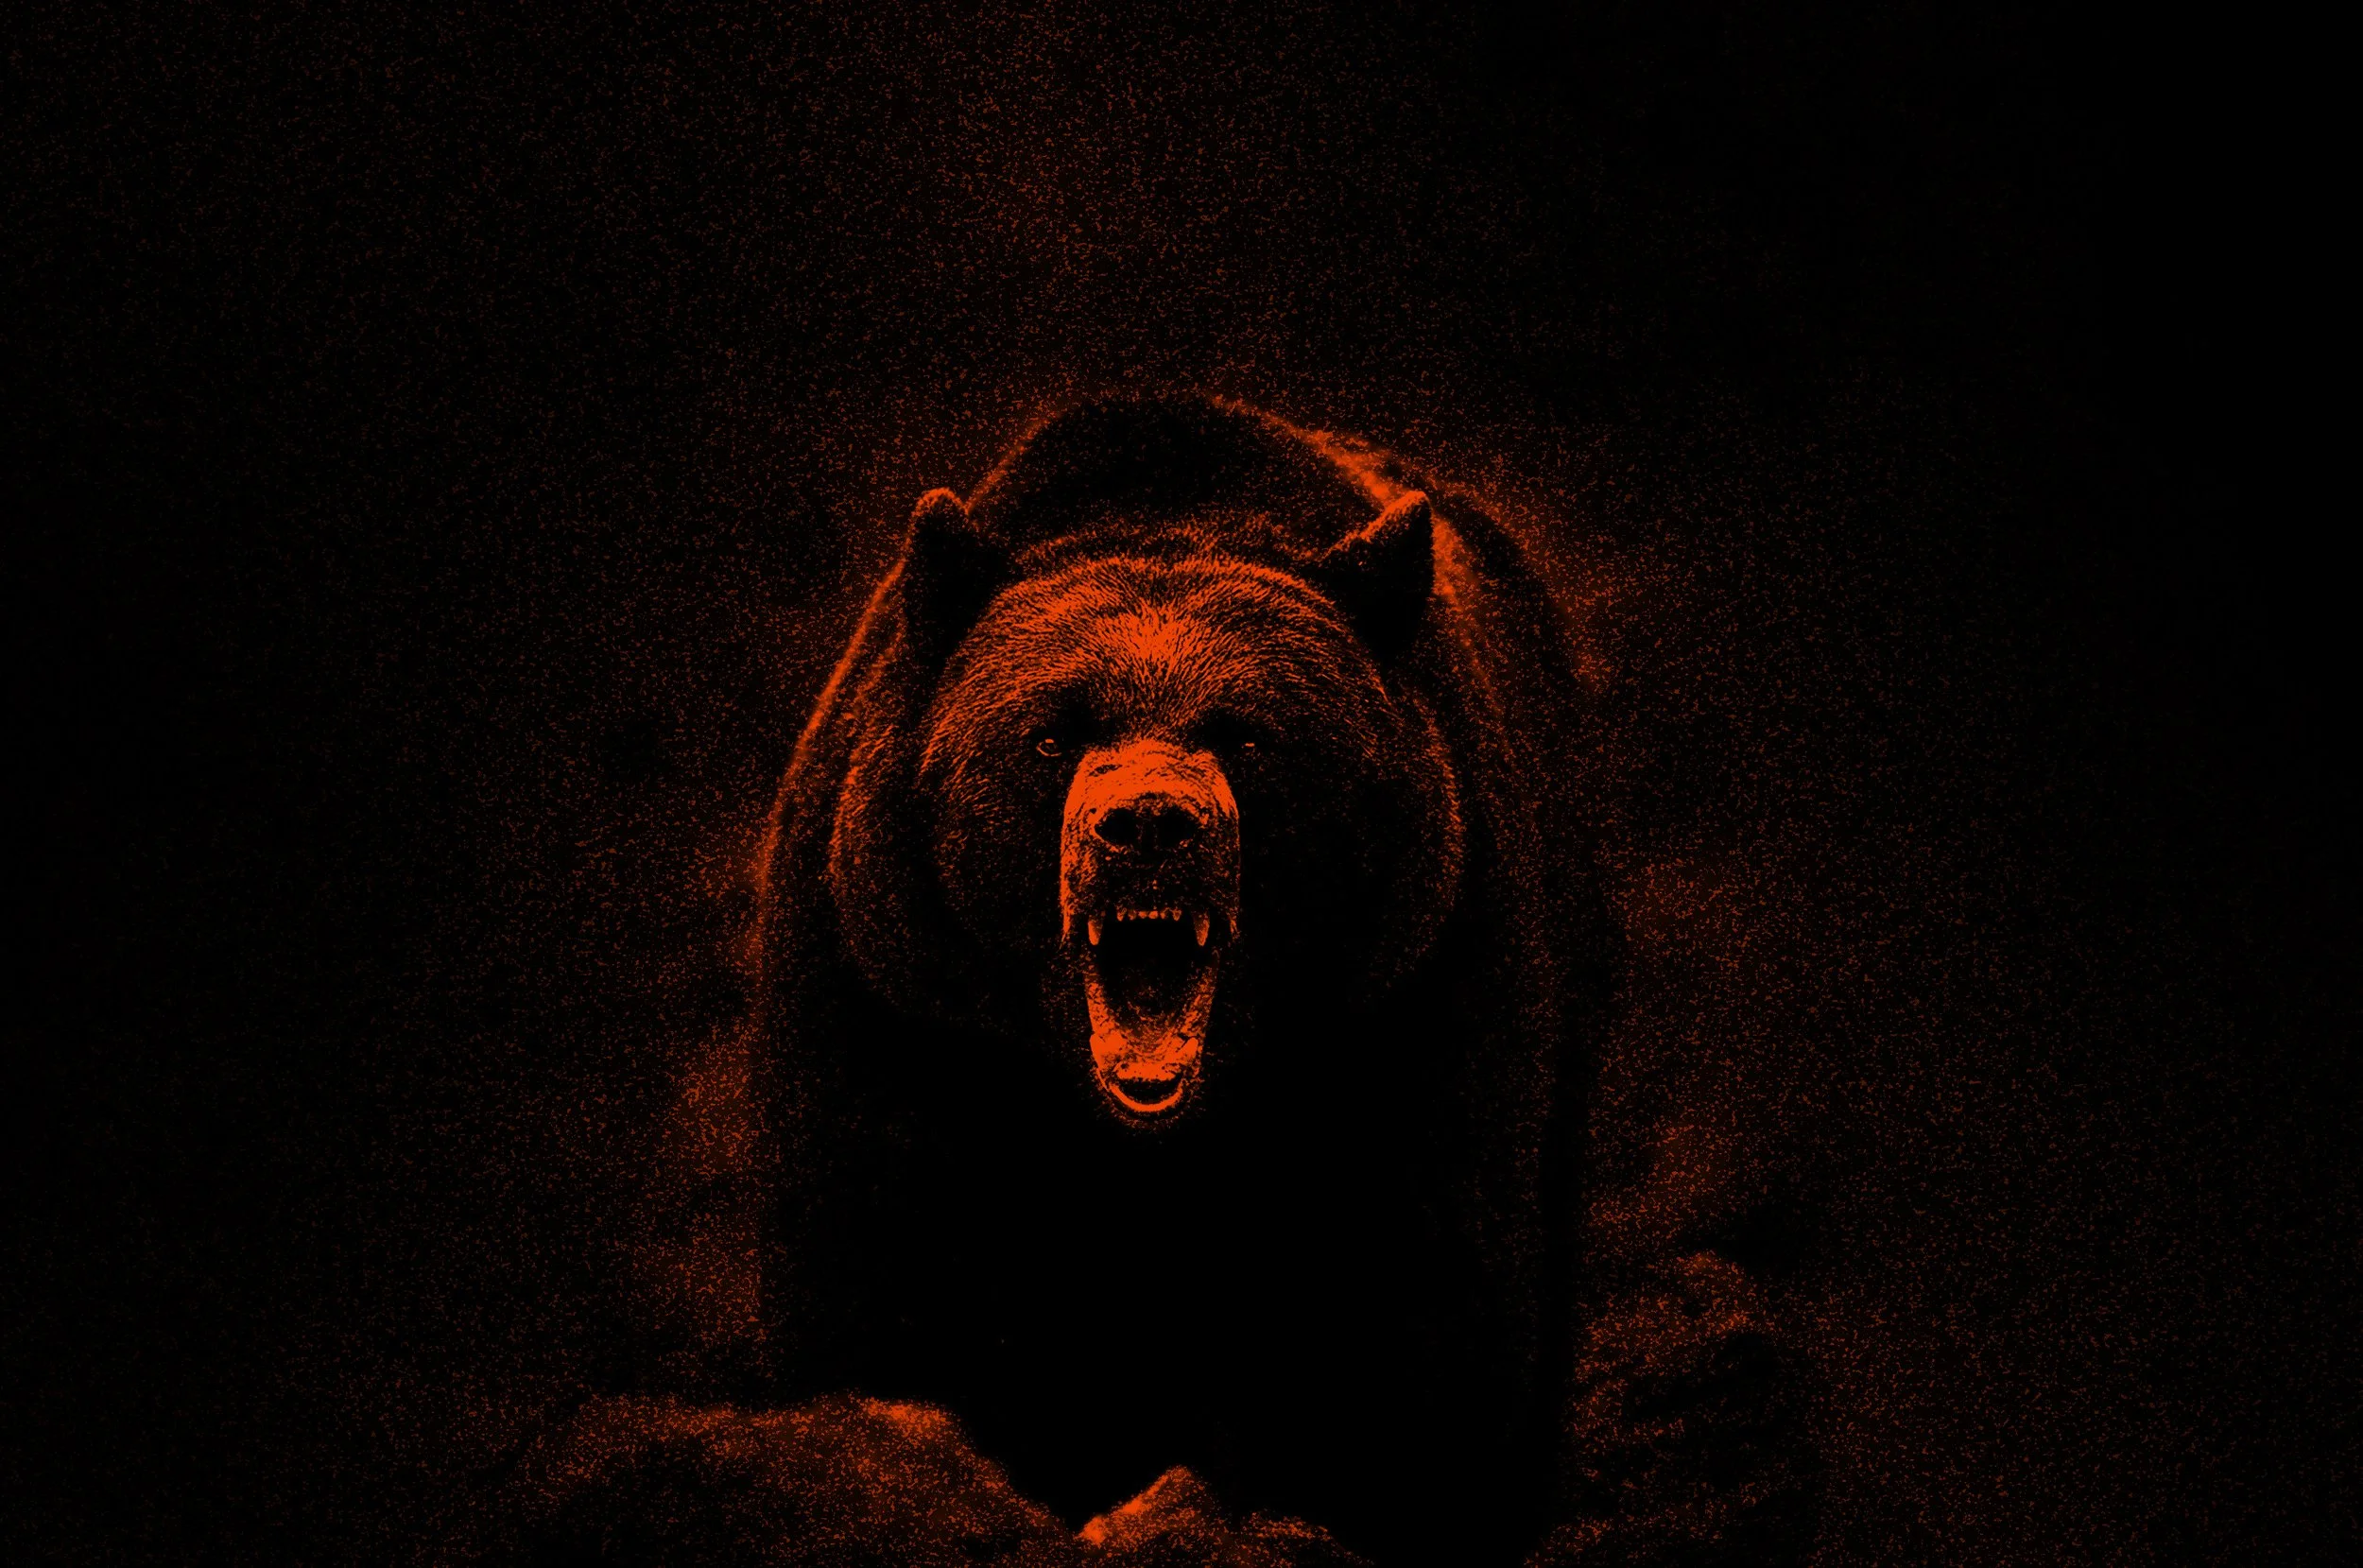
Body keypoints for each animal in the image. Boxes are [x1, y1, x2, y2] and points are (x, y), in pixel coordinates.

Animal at [590, 394, 1813, 1568]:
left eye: (1249, 736)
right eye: (1049, 735)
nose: (1146, 825)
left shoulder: (1410, 995)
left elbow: (1404, 1309)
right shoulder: (898, 1001)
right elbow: (890, 1287)